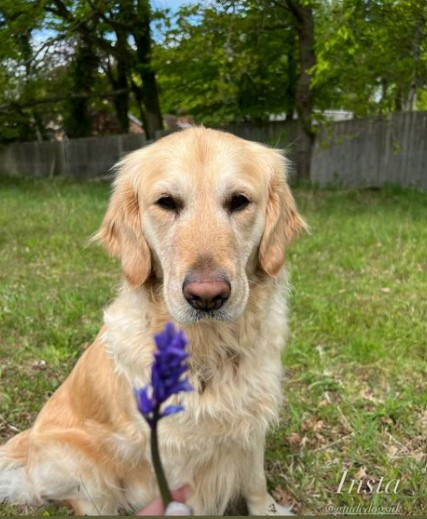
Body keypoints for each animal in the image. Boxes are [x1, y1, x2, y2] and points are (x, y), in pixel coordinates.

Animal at [0, 127, 306, 516]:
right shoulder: (171, 452)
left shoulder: (251, 426)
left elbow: (255, 484)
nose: (207, 296)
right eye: (166, 202)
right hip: (86, 469)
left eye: (239, 201)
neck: (207, 348)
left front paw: (267, 508)